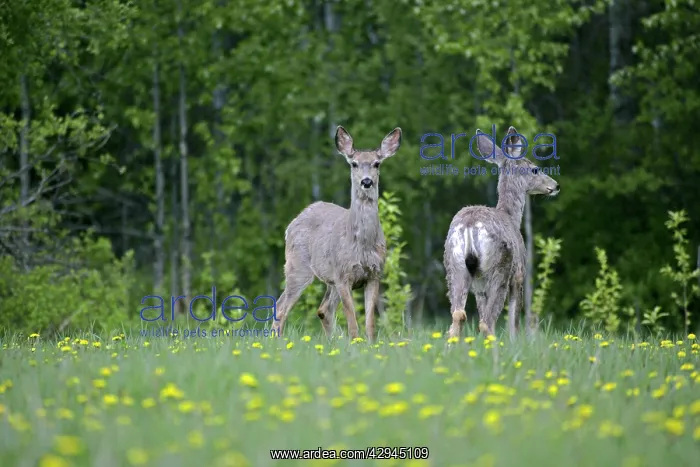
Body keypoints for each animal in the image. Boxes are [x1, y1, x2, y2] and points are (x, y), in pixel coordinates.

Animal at [270, 125, 402, 342]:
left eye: (376, 163)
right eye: (354, 164)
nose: (367, 181)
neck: (362, 244)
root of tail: (291, 224)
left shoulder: (374, 273)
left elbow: (370, 322)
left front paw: (370, 344)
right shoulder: (342, 275)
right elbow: (352, 320)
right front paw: (355, 342)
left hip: (327, 277)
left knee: (323, 309)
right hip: (297, 266)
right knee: (282, 307)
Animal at [443, 126, 560, 340]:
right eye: (535, 169)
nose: (555, 185)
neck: (511, 217)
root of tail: (470, 226)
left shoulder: (479, 288)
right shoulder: (519, 274)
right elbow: (514, 321)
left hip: (454, 267)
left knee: (458, 316)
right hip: (500, 268)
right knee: (487, 322)